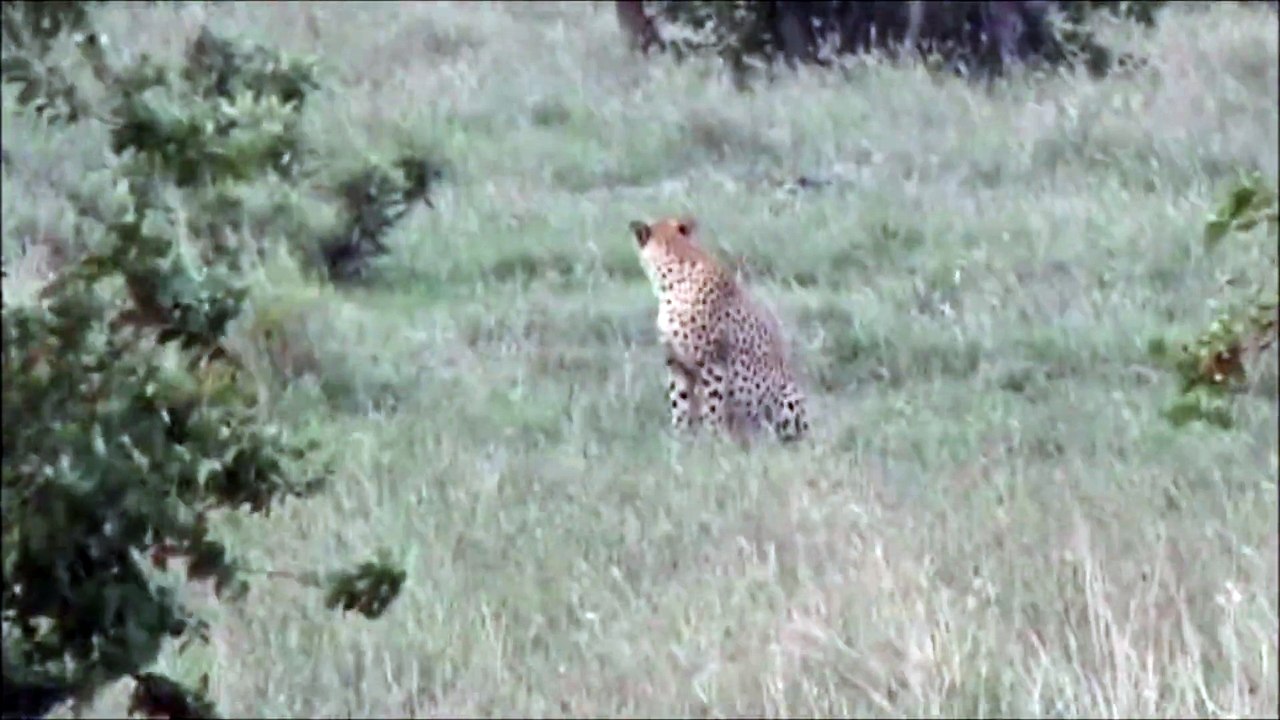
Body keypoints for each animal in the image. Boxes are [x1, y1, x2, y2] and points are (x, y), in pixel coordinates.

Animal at [628, 215, 810, 444]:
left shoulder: (712, 363)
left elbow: (712, 406)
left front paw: (713, 439)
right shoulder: (676, 362)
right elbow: (680, 403)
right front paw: (680, 437)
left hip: (788, 398)